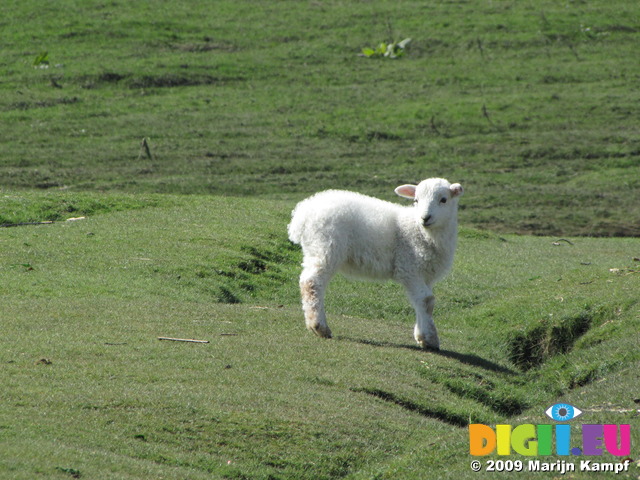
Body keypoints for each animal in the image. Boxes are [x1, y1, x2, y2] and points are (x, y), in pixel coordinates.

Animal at [288, 178, 462, 350]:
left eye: (443, 200)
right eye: (416, 200)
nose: (425, 218)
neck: (421, 231)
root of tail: (303, 212)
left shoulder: (425, 274)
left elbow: (421, 301)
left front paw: (421, 335)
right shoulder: (408, 267)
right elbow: (427, 300)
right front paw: (430, 339)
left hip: (315, 249)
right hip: (325, 247)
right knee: (311, 282)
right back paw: (319, 326)